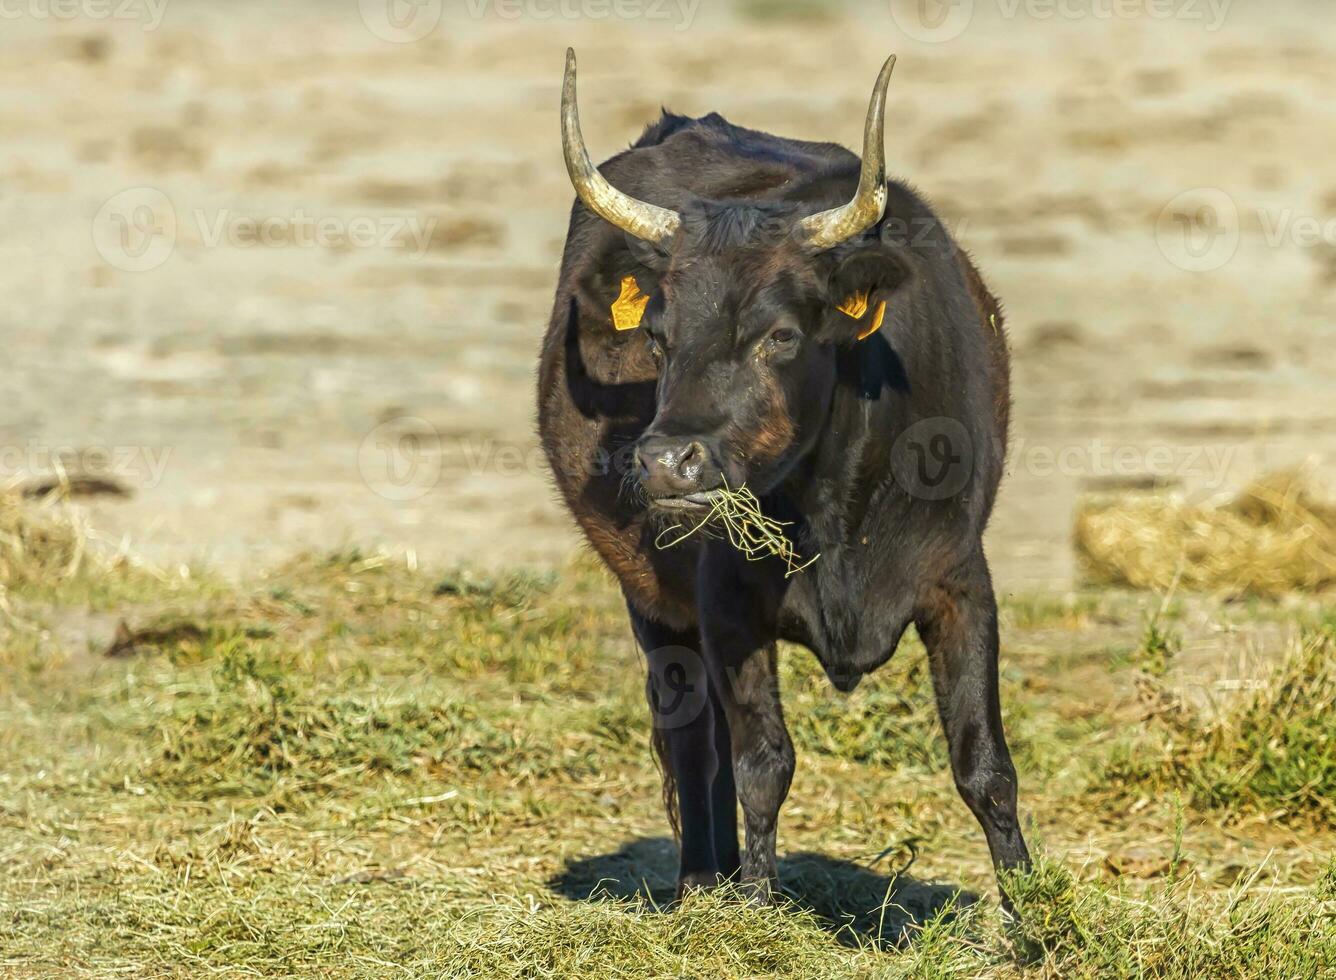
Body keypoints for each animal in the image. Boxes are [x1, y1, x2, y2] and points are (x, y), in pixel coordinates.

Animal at [534, 50, 1031, 902]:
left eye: (781, 336)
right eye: (658, 337)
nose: (667, 461)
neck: (837, 508)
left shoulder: (962, 580)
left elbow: (985, 768)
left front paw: (1038, 914)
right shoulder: (724, 601)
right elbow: (762, 762)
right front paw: (756, 909)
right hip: (652, 600)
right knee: (693, 741)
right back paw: (704, 883)